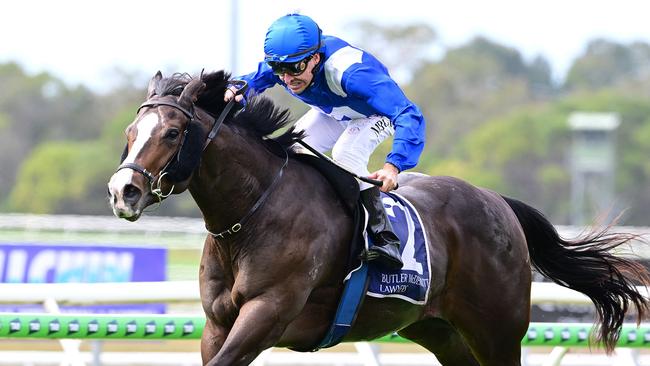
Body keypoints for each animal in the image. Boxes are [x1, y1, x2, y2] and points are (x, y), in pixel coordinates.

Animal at [109, 71, 644, 366]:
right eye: (131, 131)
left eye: (173, 132)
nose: (122, 192)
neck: (251, 215)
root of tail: (496, 201)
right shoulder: (218, 323)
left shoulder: (268, 312)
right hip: (439, 329)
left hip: (497, 328)